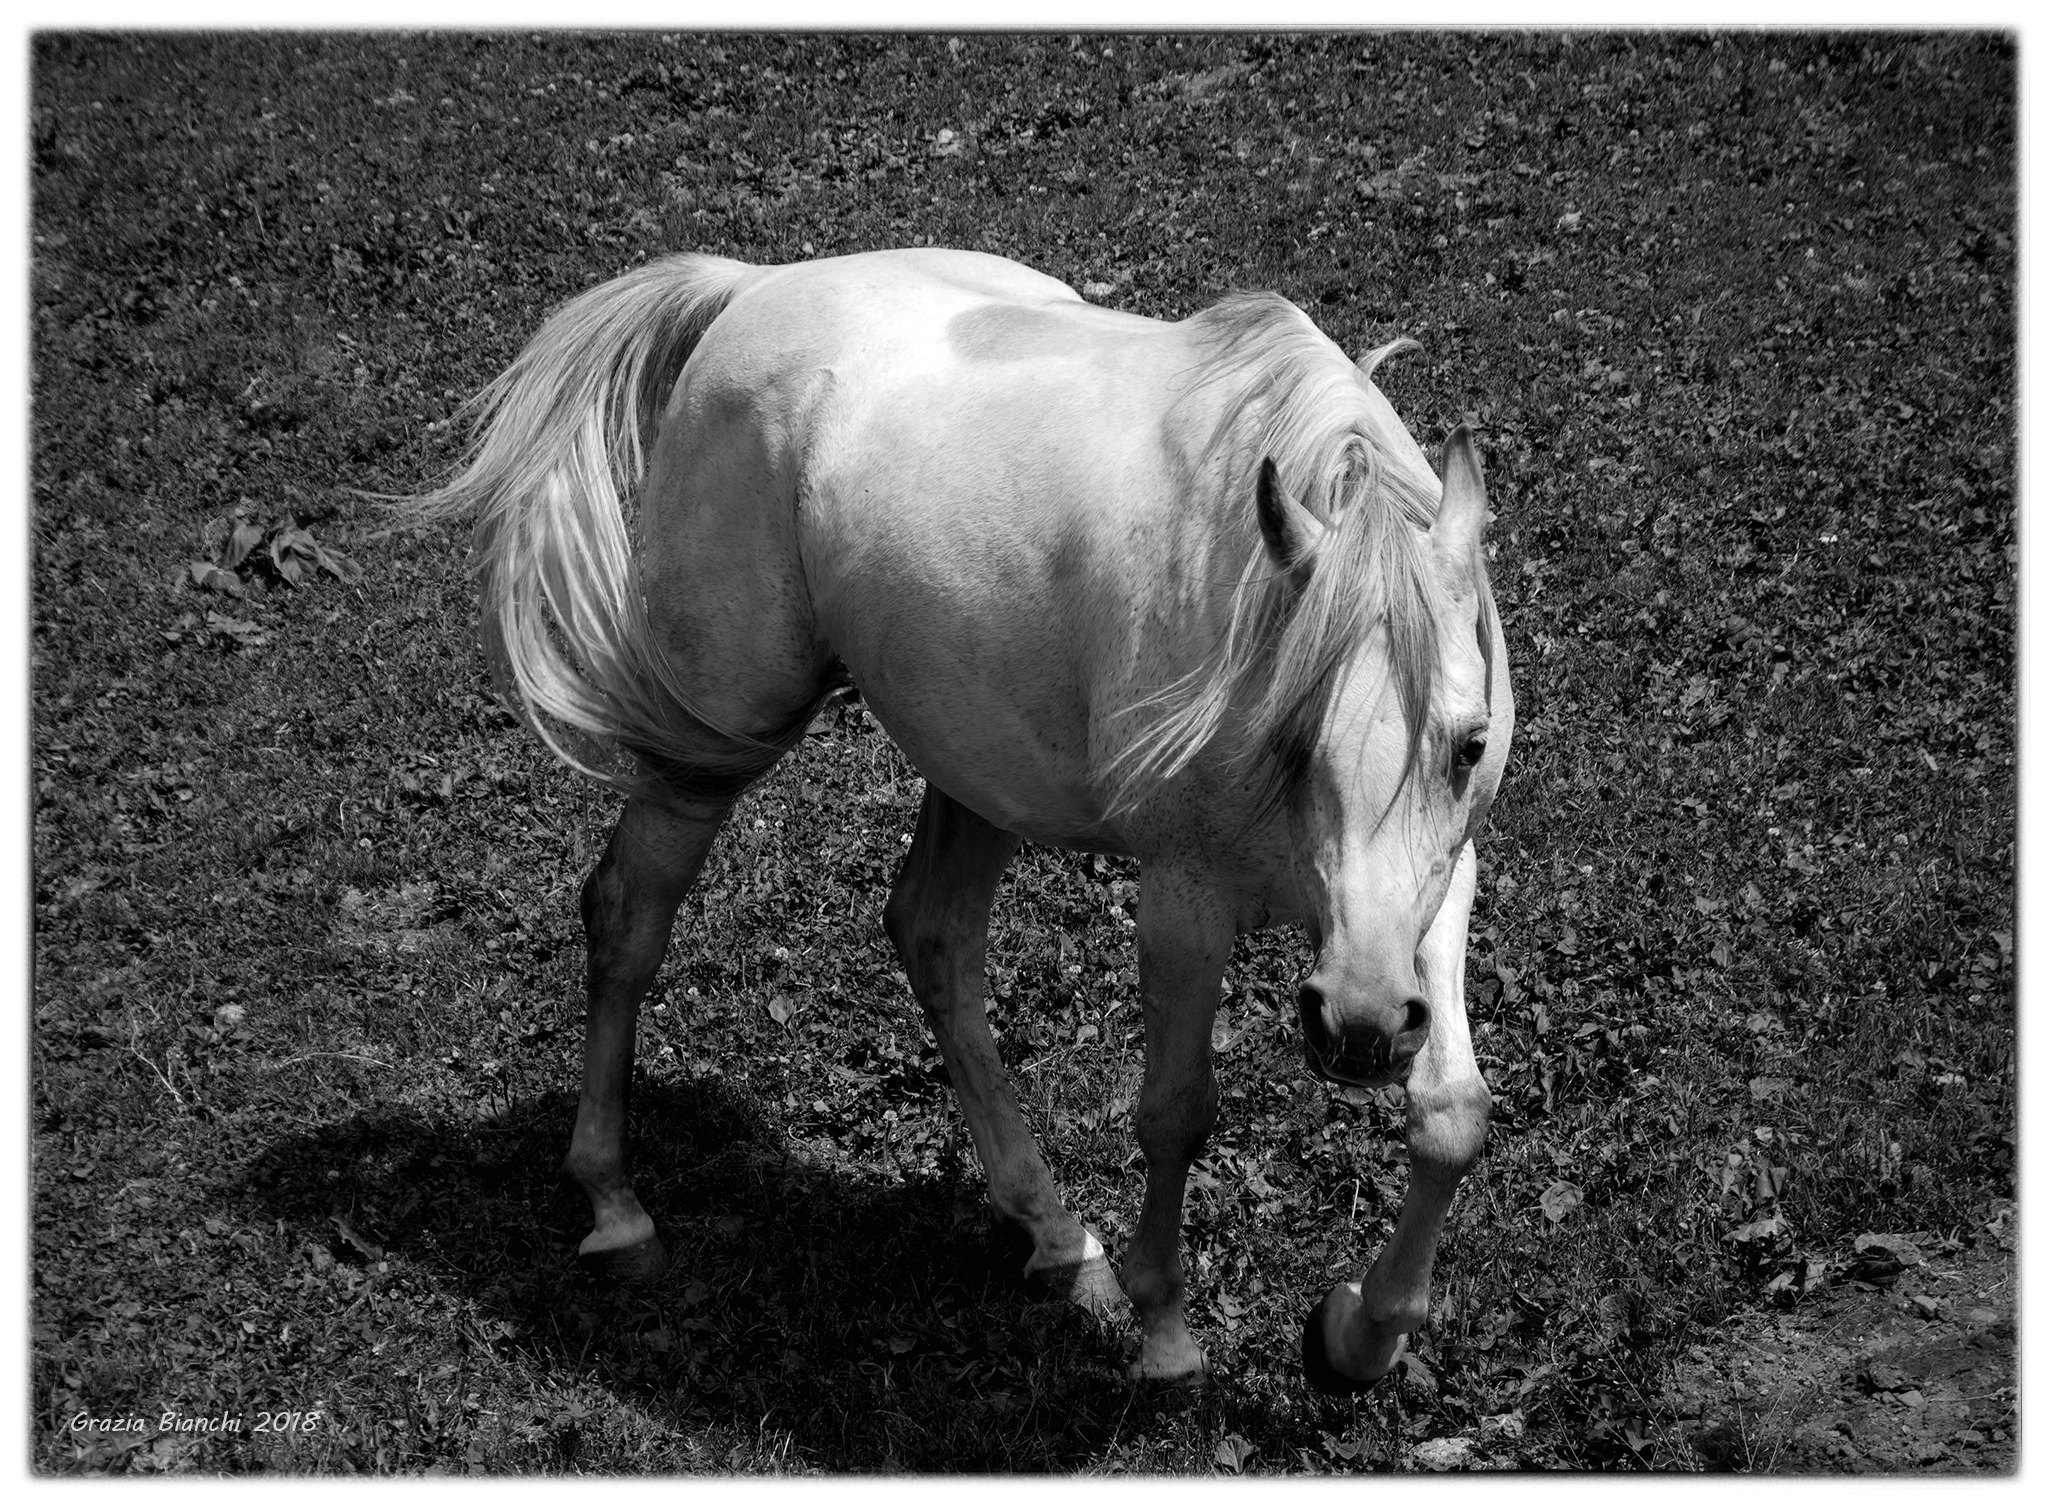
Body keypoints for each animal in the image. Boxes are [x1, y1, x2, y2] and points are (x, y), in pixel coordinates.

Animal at [408, 246, 1513, 1392]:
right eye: (1293, 738)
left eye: (1468, 744)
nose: (1358, 1030)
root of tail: (752, 286)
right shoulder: (1183, 904)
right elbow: (1174, 1113)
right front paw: (1165, 1332)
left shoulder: (1429, 890)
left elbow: (1452, 1113)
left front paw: (1360, 1333)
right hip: (712, 742)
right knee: (628, 915)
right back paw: (616, 1206)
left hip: (974, 772)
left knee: (931, 935)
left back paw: (1055, 1236)